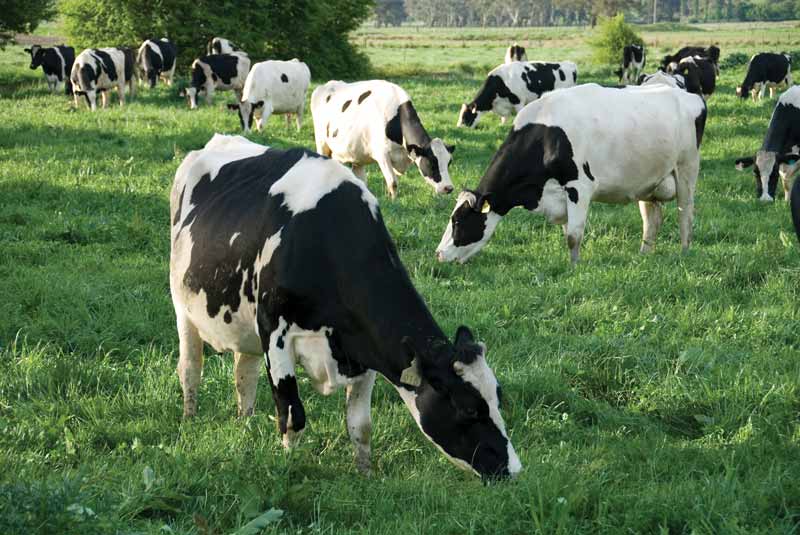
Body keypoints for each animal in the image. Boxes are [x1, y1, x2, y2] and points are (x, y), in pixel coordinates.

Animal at [171, 134, 520, 482]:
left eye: (498, 396)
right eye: (468, 409)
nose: (513, 469)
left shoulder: (365, 347)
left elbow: (360, 425)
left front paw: (365, 474)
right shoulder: (274, 333)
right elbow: (292, 415)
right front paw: (288, 466)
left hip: (245, 326)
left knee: (244, 375)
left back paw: (245, 422)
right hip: (182, 308)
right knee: (190, 368)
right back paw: (189, 419)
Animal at [310, 78, 454, 198]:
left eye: (449, 162)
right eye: (431, 163)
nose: (448, 188)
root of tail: (327, 85)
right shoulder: (382, 155)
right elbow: (393, 183)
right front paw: (394, 202)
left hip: (356, 155)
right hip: (322, 145)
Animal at [438, 84, 708, 266]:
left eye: (458, 221)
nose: (438, 254)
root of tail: (690, 95)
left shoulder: (579, 187)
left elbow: (573, 235)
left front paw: (574, 267)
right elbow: (568, 230)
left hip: (686, 169)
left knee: (686, 213)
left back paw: (684, 251)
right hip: (648, 181)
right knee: (652, 220)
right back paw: (644, 254)